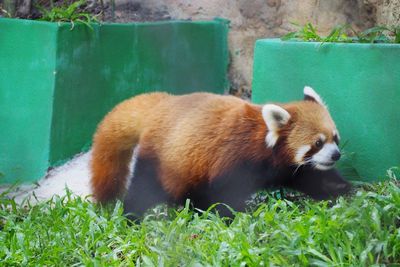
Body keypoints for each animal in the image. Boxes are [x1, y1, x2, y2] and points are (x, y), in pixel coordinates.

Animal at [90, 87, 350, 219]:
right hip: (160, 159)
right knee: (143, 189)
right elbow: (223, 195)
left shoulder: (287, 168)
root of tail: (161, 105)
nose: (335, 155)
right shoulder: (233, 159)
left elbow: (313, 178)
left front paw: (342, 190)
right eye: (317, 143)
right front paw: (234, 217)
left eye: (335, 138)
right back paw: (132, 217)